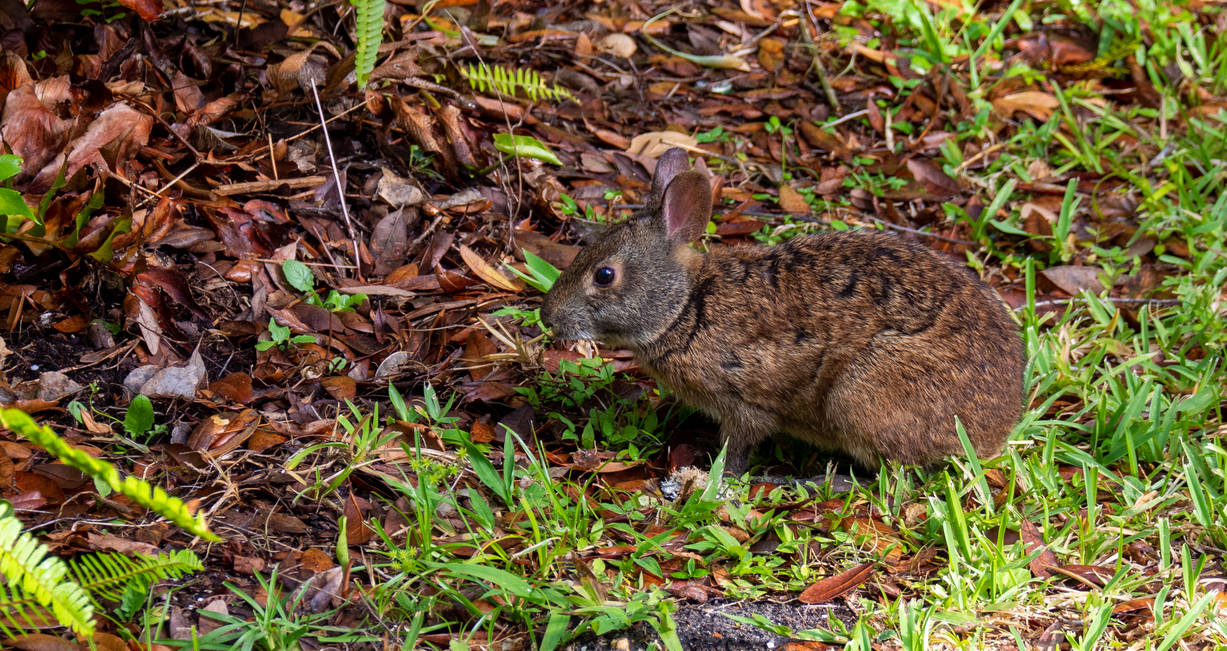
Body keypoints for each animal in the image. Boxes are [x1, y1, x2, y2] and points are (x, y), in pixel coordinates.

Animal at [540, 147, 1025, 476]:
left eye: (605, 275)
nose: (548, 316)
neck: (685, 308)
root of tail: (999, 426)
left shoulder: (744, 401)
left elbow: (740, 445)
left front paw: (713, 477)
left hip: (860, 393)